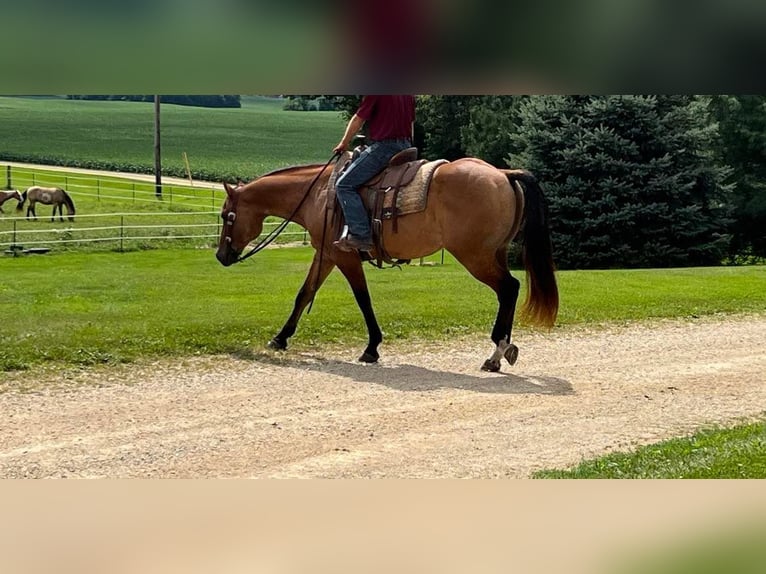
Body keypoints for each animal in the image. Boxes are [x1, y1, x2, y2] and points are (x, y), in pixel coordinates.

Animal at [216, 156, 560, 374]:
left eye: (226, 216)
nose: (221, 256)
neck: (319, 193)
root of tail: (503, 173)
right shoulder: (325, 255)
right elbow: (304, 294)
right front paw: (280, 338)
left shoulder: (344, 256)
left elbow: (363, 299)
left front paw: (372, 347)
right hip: (493, 253)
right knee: (509, 291)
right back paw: (503, 352)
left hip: (475, 257)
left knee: (509, 288)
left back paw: (496, 353)